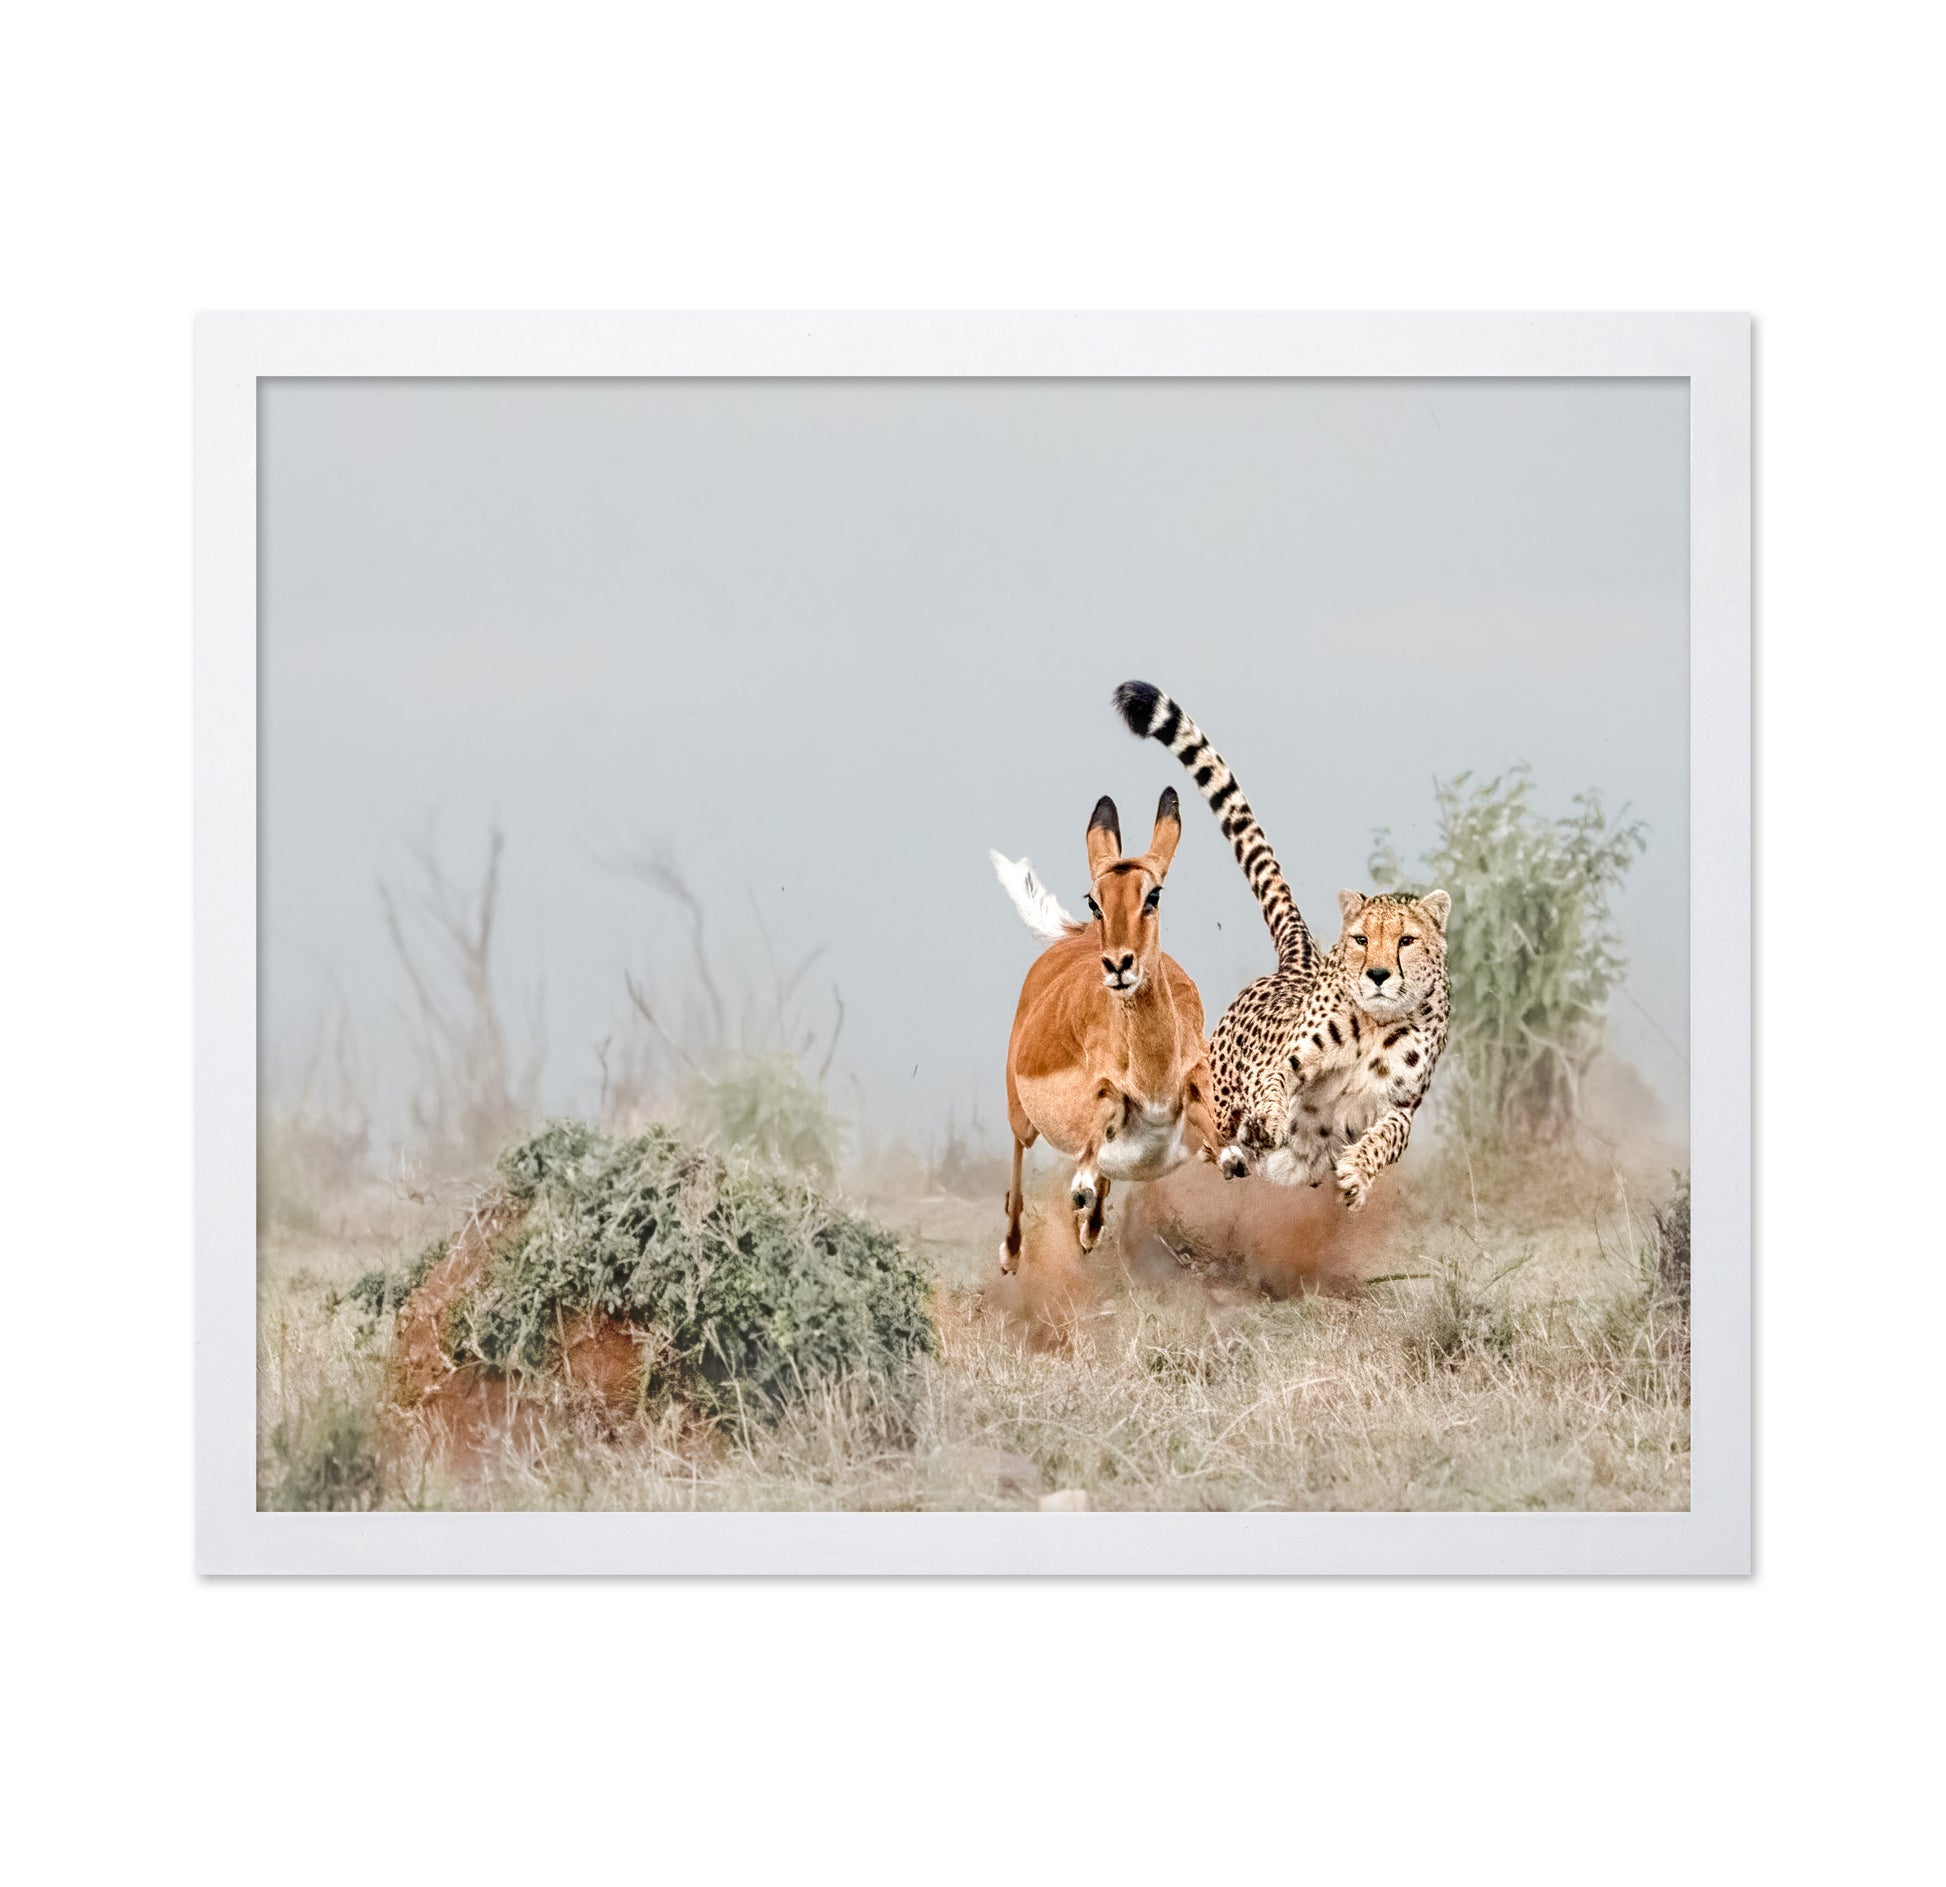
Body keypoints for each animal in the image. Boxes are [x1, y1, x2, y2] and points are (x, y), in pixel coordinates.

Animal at [1112, 680, 1452, 1211]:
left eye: (1406, 941)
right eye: (1361, 939)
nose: (1377, 975)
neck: (1376, 1024)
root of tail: (1301, 961)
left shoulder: (1399, 1108)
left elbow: (1385, 1137)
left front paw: (1355, 1175)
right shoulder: (1284, 1064)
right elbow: (1273, 1084)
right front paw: (1269, 1121)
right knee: (1205, 1129)